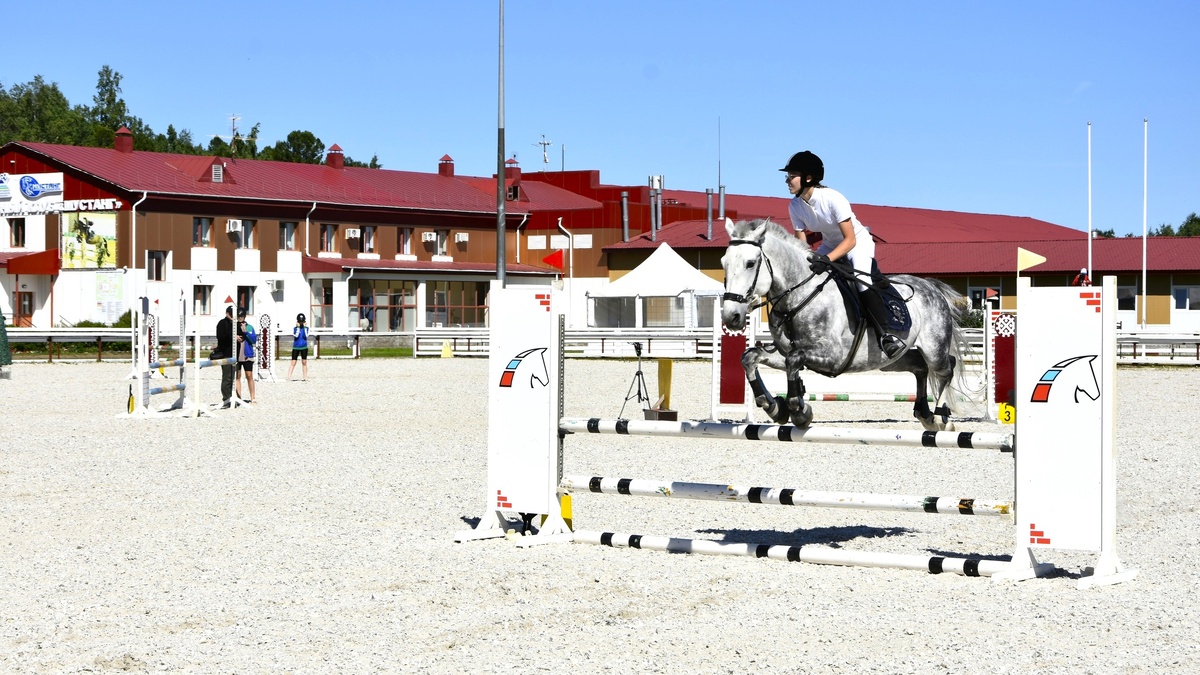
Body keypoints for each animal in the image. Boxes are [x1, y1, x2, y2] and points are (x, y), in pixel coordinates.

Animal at [720, 218, 964, 427]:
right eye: (723, 263)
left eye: (750, 263)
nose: (731, 317)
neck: (798, 296)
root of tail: (932, 286)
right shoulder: (785, 351)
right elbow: (751, 357)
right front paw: (775, 407)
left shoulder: (833, 356)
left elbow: (794, 359)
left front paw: (798, 412)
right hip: (890, 359)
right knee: (919, 367)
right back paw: (923, 412)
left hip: (933, 347)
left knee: (945, 368)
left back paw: (939, 417)